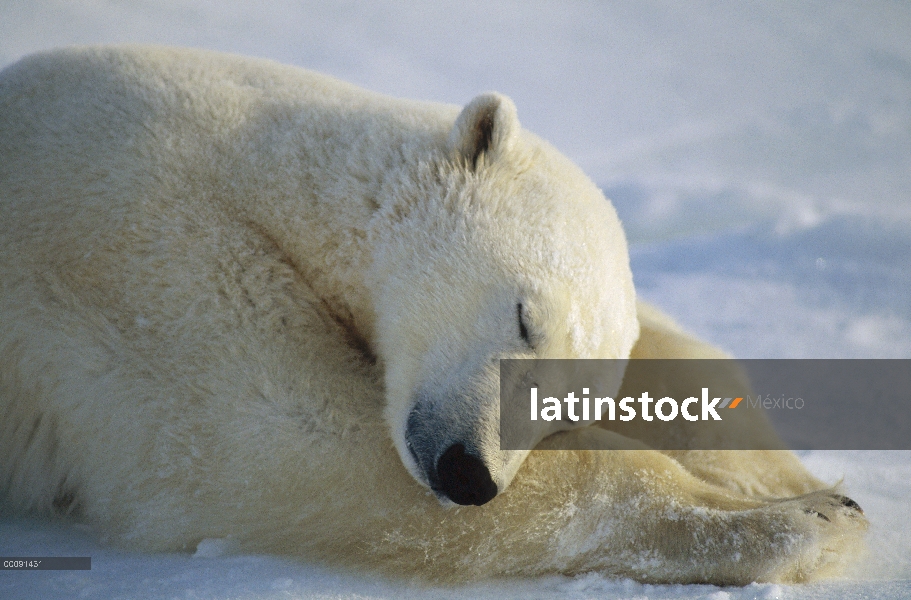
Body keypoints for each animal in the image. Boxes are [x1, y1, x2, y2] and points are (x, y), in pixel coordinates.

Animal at [0, 48, 864, 584]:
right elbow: (274, 438)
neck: (258, 160)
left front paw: (801, 482)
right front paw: (804, 521)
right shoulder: (134, 244)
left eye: (567, 404)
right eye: (521, 317)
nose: (469, 474)